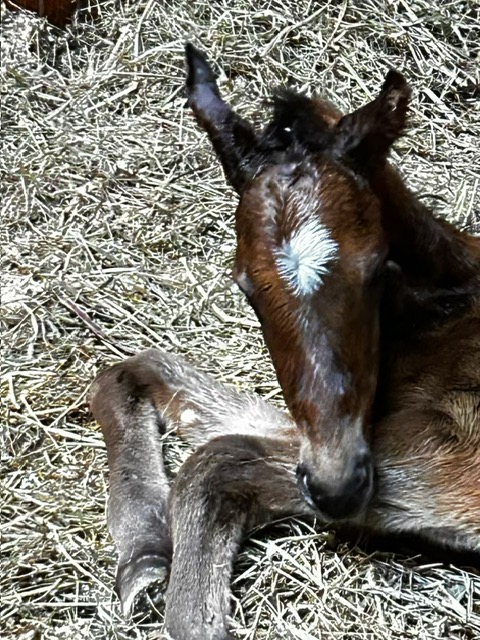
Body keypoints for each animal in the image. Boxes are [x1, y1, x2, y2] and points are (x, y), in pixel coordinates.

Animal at [89, 45, 480, 640]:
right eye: (245, 288)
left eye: (377, 269)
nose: (336, 486)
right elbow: (135, 370)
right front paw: (144, 559)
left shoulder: (448, 458)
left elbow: (212, 463)